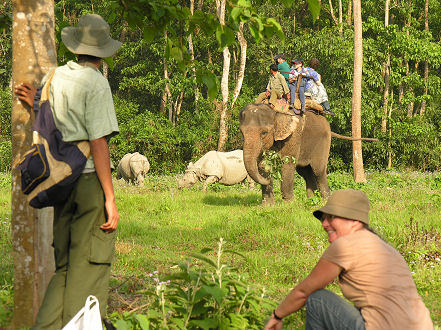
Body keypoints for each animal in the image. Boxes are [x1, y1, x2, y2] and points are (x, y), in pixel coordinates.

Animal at [239, 104, 376, 205]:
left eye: (264, 133)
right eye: (242, 133)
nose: (269, 179)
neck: (276, 112)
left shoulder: (293, 136)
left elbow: (287, 164)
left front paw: (289, 204)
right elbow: (262, 164)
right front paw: (267, 205)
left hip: (323, 143)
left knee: (318, 171)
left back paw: (324, 201)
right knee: (306, 172)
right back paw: (311, 200)